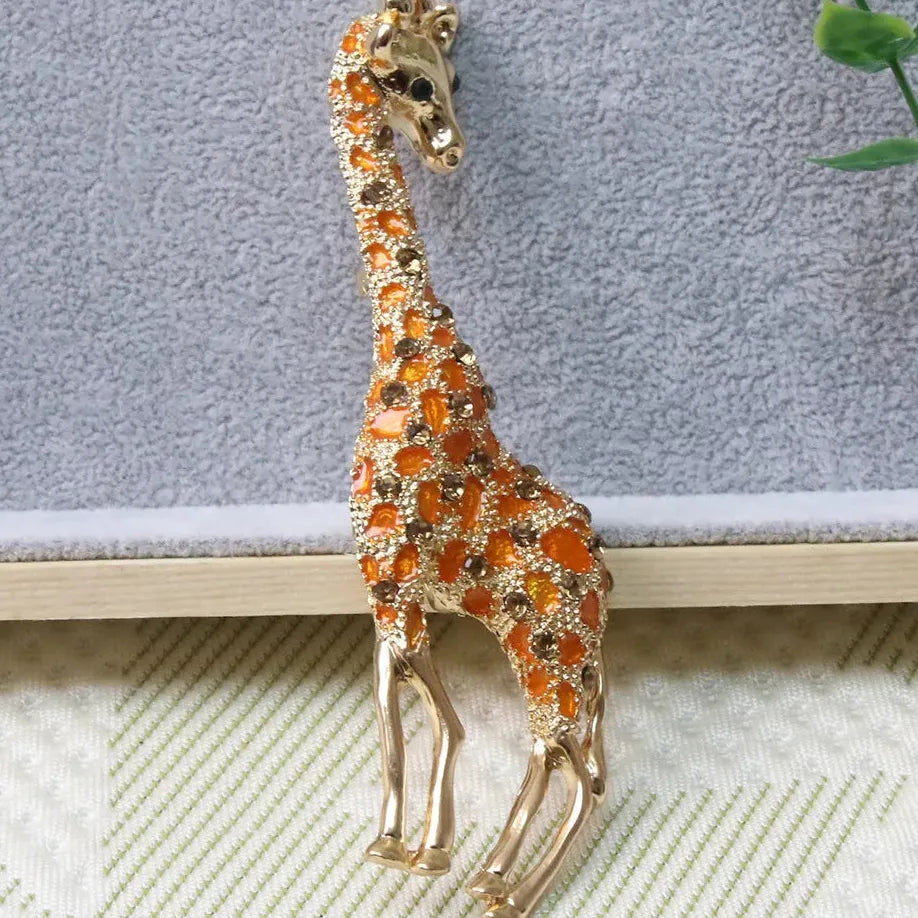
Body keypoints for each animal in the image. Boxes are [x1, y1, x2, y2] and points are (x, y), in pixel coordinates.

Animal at [329, 3, 611, 915]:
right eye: (410, 82)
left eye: (452, 78)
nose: (450, 151)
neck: (404, 343)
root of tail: (601, 581)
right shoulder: (388, 594)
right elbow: (406, 711)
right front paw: (404, 845)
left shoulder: (393, 585)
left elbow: (434, 719)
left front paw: (423, 850)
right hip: (542, 645)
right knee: (563, 755)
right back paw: (495, 878)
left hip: (552, 644)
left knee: (581, 766)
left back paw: (509, 891)